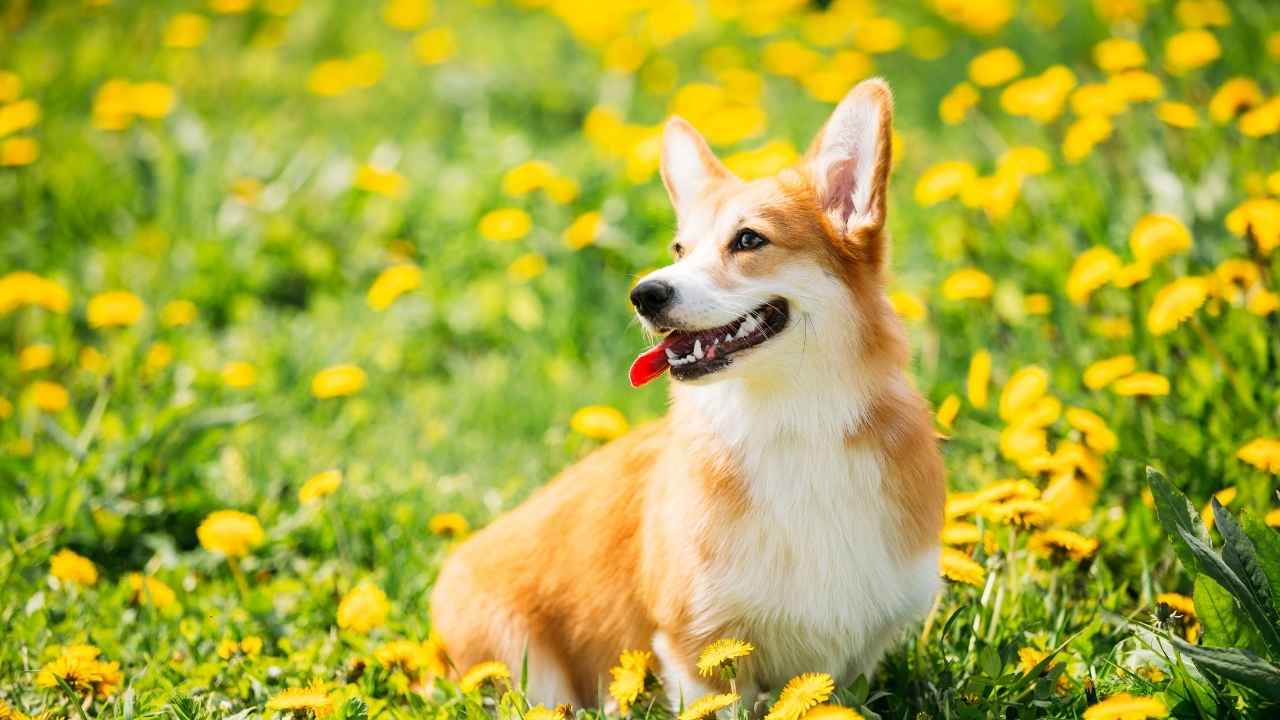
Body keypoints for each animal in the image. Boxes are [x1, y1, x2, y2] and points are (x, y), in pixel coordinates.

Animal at [435, 78, 947, 707]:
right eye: (680, 249)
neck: (790, 423)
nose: (644, 294)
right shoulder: (697, 642)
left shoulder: (856, 655)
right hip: (524, 666)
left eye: (749, 240)